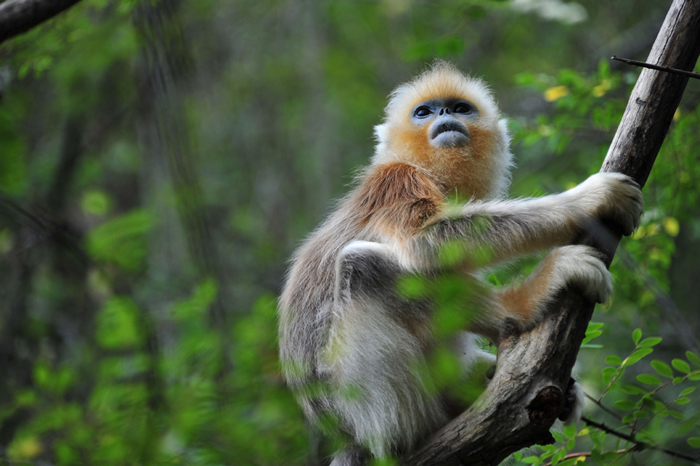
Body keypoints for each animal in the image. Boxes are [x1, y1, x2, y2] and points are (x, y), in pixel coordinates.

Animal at [278, 62, 644, 466]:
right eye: (423, 112)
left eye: (460, 108)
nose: (444, 115)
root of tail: (347, 440)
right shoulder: (396, 180)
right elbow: (426, 240)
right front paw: (591, 198)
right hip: (367, 413)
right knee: (361, 266)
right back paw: (527, 300)